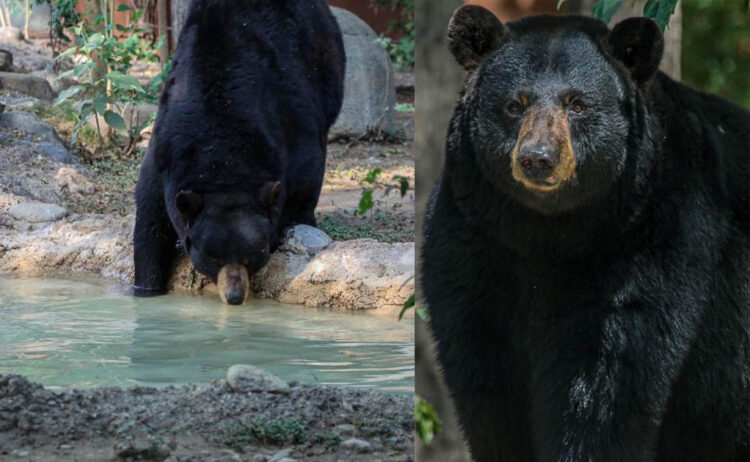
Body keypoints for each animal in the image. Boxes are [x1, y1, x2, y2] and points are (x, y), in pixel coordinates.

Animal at [133, 0, 345, 305]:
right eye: (212, 257)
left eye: (252, 255)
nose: (234, 296)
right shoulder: (165, 152)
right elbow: (151, 219)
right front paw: (146, 287)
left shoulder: (292, 118)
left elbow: (305, 176)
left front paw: (295, 223)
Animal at [422, 6, 749, 462]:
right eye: (515, 104)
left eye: (577, 104)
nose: (537, 158)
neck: (547, 231)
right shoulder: (472, 236)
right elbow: (488, 380)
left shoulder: (655, 233)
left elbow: (603, 378)